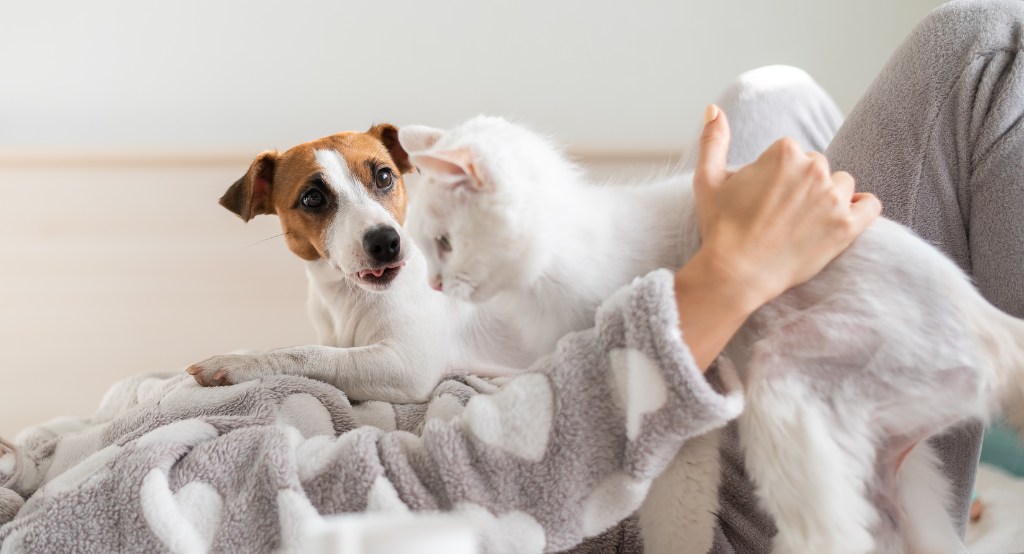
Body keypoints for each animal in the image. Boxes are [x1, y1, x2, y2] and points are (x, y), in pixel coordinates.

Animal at [397, 115, 1024, 552]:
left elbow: (676, 527)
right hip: (893, 488)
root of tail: (992, 327)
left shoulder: (682, 430)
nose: (431, 283)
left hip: (785, 380)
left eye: (445, 244)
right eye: (426, 248)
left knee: (831, 536)